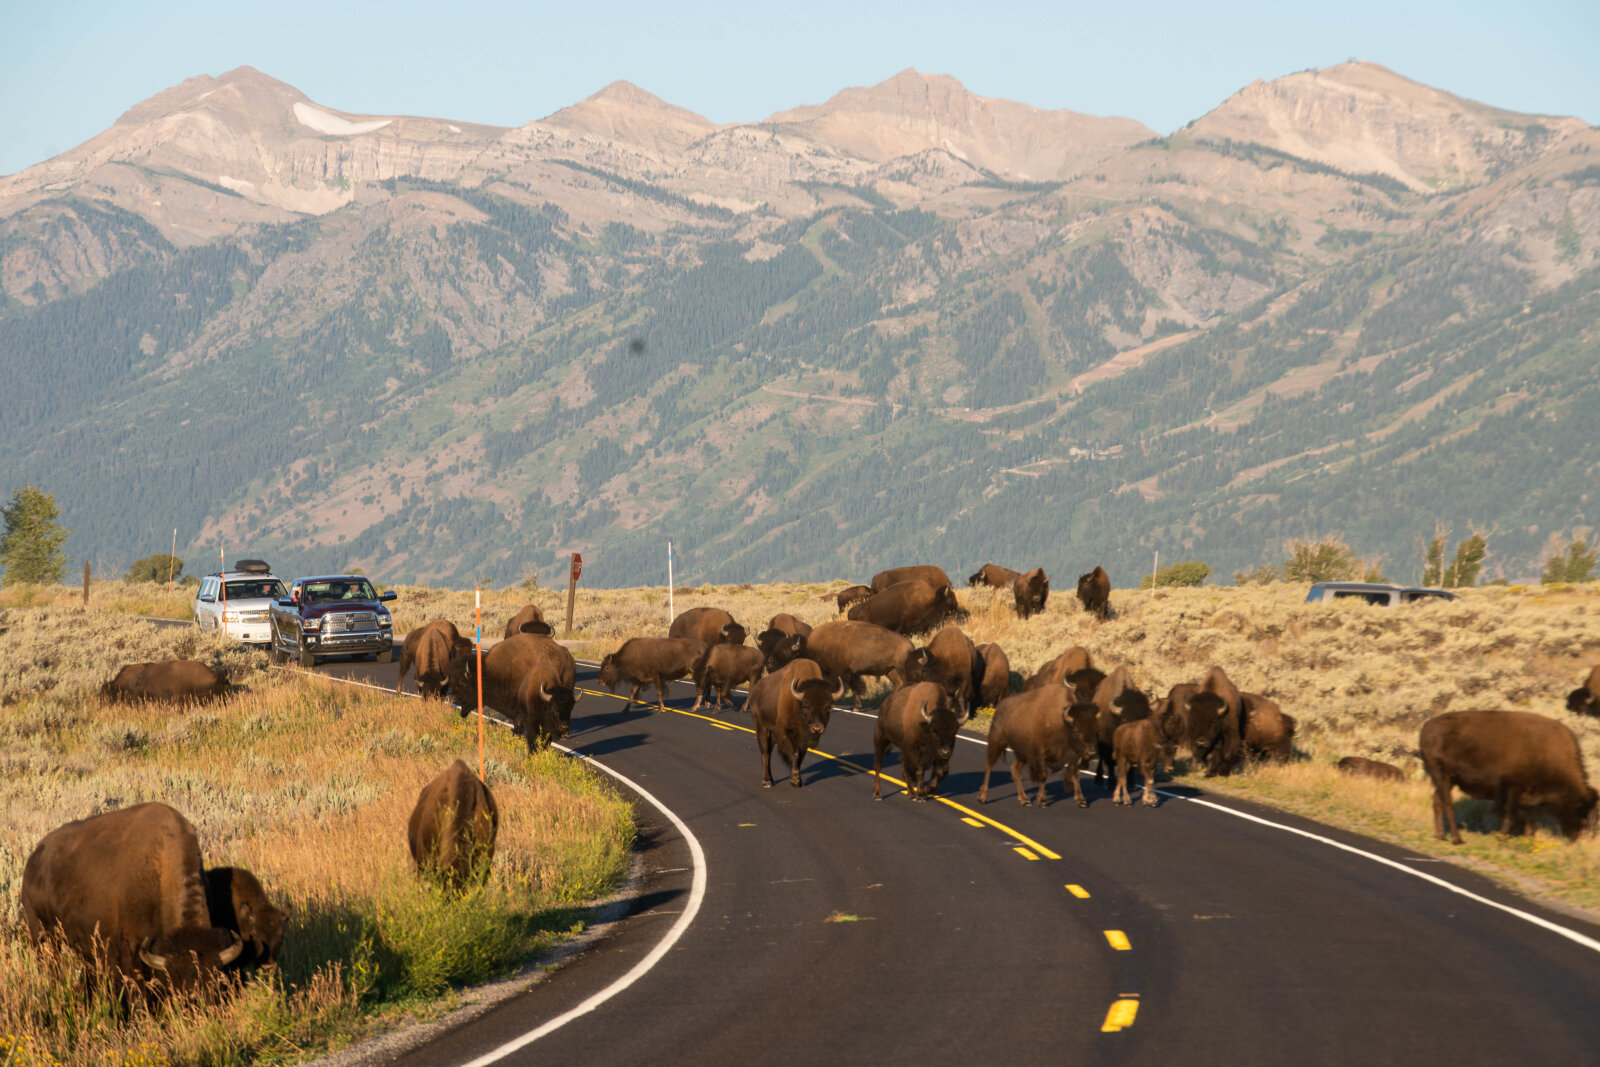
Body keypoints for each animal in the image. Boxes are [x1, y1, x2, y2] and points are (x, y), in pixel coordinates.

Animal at [18, 799, 244, 991]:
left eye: (215, 979)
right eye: (175, 980)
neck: (160, 868)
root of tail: (32, 861)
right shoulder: (130, 948)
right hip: (42, 935)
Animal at [752, 655, 851, 790]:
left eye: (828, 707)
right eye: (806, 705)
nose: (817, 728)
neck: (797, 704)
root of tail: (757, 689)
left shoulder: (803, 740)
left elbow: (801, 757)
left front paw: (798, 781)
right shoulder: (785, 732)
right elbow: (795, 753)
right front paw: (794, 780)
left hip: (771, 733)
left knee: (769, 752)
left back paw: (771, 779)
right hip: (761, 727)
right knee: (765, 753)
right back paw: (767, 781)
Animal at [972, 687, 1100, 806]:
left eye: (1095, 731)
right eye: (1076, 732)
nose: (1091, 753)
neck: (1062, 722)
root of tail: (1000, 707)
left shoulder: (1074, 756)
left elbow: (1075, 775)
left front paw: (1081, 800)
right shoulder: (1039, 754)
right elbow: (1043, 775)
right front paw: (1042, 800)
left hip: (1022, 754)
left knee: (1015, 770)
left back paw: (1024, 799)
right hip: (996, 742)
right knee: (989, 766)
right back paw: (982, 797)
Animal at [1420, 713, 1593, 844]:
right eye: (1580, 809)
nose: (1575, 837)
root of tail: (1426, 727)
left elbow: (1526, 817)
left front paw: (1527, 838)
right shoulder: (1512, 789)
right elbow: (1510, 815)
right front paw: (1503, 838)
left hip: (1448, 781)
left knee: (1437, 801)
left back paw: (1440, 836)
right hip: (1442, 776)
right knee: (1447, 804)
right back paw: (1457, 839)